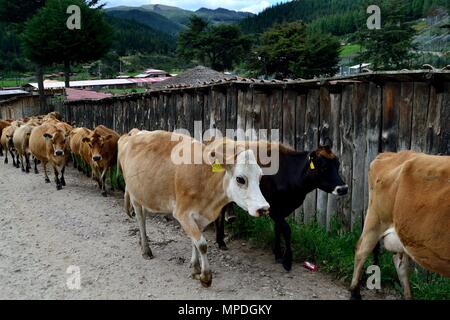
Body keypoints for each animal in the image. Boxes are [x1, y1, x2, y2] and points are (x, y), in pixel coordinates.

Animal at [118, 130, 268, 288]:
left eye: (260, 177)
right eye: (240, 179)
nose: (264, 208)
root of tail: (134, 132)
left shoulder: (200, 216)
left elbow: (195, 242)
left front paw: (196, 267)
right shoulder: (182, 213)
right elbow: (202, 244)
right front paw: (205, 276)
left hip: (146, 195)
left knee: (144, 215)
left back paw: (142, 241)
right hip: (135, 196)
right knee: (140, 219)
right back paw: (146, 249)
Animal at [214, 139, 348, 272]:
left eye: (338, 165)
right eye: (324, 167)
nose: (343, 188)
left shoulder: (282, 210)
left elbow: (278, 229)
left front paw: (278, 254)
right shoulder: (273, 208)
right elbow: (287, 230)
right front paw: (287, 260)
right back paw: (221, 241)